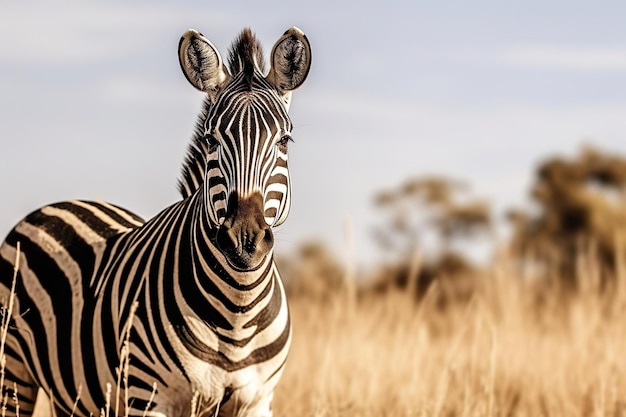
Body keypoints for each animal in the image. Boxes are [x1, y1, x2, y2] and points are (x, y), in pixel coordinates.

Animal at [0, 26, 310, 416]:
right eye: (211, 140)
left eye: (285, 140)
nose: (244, 240)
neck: (237, 315)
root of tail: (63, 202)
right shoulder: (148, 397)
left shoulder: (256, 401)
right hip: (13, 368)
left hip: (72, 393)